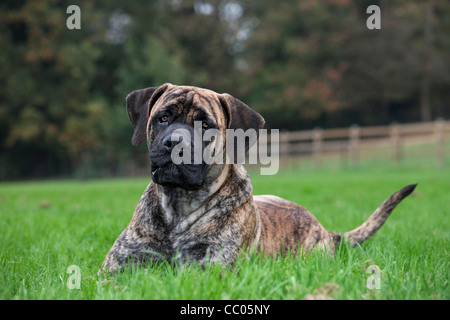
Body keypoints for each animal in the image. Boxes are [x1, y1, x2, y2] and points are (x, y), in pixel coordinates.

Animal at [100, 82, 416, 272]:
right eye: (163, 117)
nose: (174, 143)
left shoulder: (209, 268)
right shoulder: (115, 269)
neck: (178, 206)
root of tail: (324, 230)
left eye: (206, 125)